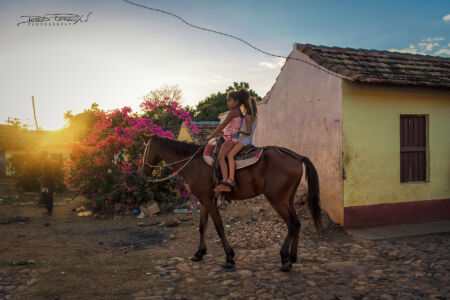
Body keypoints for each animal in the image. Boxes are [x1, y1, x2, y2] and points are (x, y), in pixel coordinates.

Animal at [139, 135, 322, 272]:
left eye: (144, 151)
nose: (142, 172)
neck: (193, 163)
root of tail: (297, 157)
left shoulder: (209, 201)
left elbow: (219, 227)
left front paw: (229, 258)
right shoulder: (204, 200)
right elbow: (202, 226)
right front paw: (199, 253)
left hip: (277, 199)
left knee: (292, 224)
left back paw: (285, 259)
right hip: (288, 199)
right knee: (297, 224)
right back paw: (293, 257)